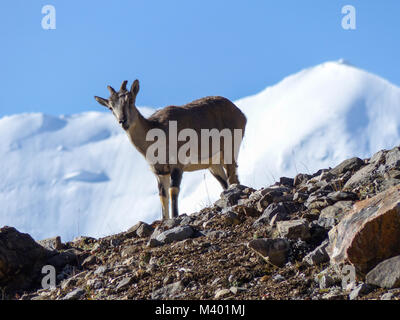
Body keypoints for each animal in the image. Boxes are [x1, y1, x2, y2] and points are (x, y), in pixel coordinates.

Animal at [95, 80, 245, 220]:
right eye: (110, 107)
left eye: (130, 100)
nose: (123, 121)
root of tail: (240, 113)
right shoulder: (160, 172)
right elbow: (163, 196)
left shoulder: (177, 164)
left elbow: (173, 191)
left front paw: (175, 216)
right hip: (213, 164)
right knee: (225, 183)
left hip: (230, 149)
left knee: (233, 178)